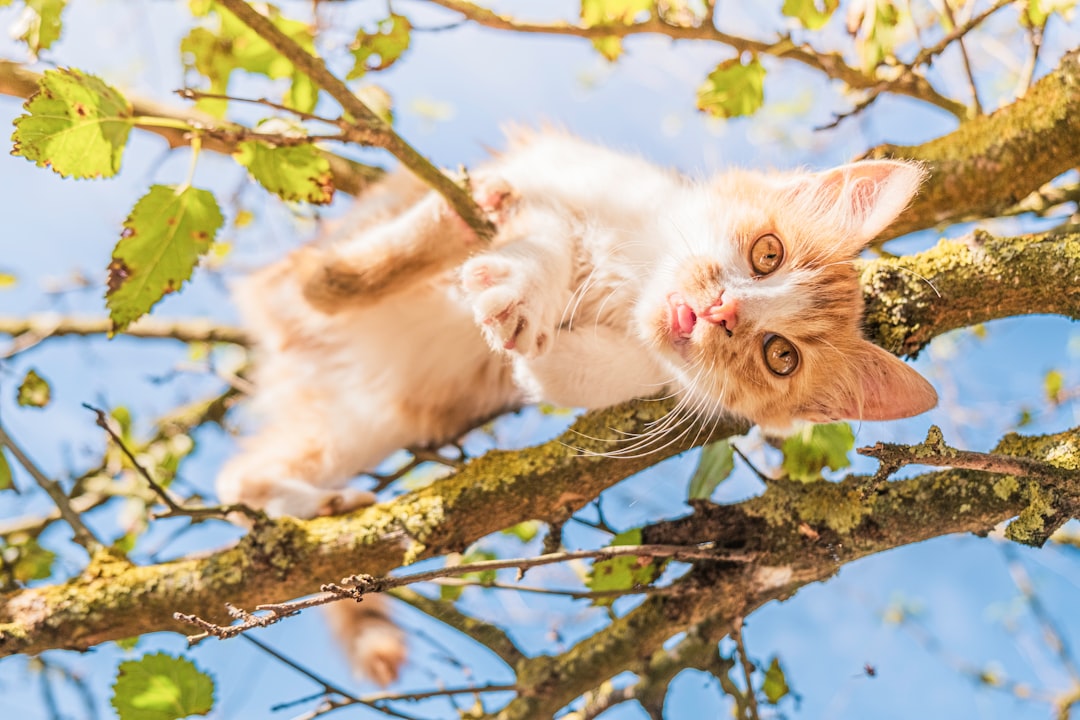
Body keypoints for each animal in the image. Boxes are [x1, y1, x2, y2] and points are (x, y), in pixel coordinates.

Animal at [212, 131, 937, 686]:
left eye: (778, 355)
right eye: (768, 253)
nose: (723, 312)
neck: (631, 274)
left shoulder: (638, 363)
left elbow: (591, 373)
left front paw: (545, 356)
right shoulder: (570, 173)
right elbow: (550, 234)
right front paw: (524, 286)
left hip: (368, 419)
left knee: (239, 475)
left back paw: (315, 506)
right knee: (317, 281)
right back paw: (447, 219)